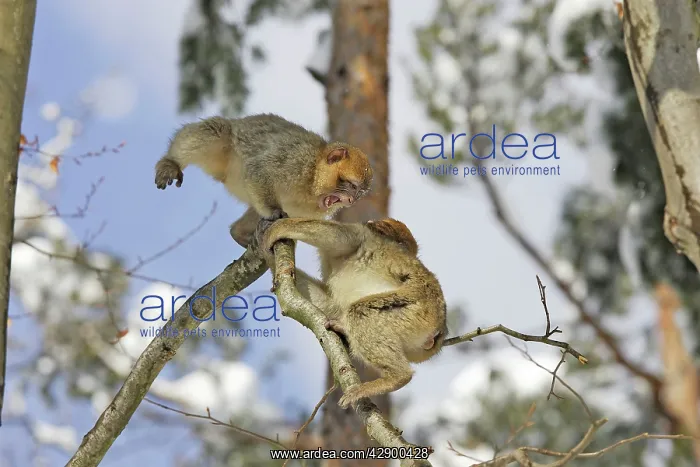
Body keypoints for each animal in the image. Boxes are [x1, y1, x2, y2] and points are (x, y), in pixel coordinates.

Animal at [154, 113, 373, 248]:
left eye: (359, 193)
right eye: (351, 186)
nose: (351, 200)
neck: (311, 181)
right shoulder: (296, 160)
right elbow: (259, 170)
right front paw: (275, 212)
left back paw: (239, 232)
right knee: (217, 129)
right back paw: (170, 162)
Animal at [257, 217, 448, 409]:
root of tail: (440, 329)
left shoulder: (357, 235)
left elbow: (331, 234)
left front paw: (276, 229)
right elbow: (330, 305)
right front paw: (269, 256)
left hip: (416, 310)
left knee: (359, 312)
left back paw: (397, 377)